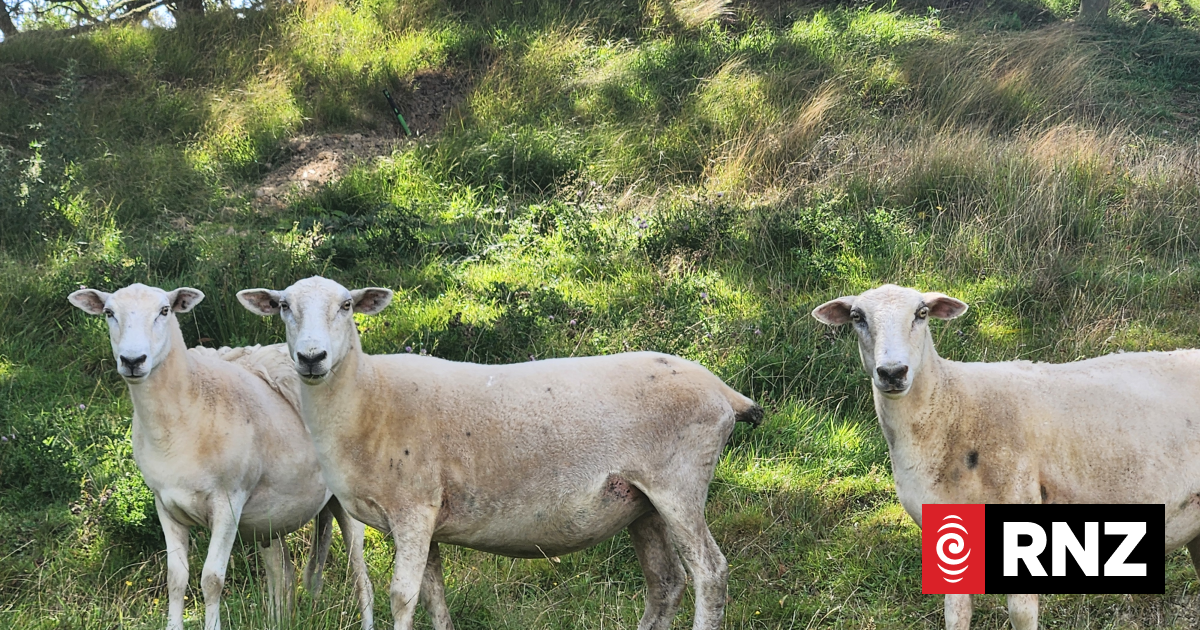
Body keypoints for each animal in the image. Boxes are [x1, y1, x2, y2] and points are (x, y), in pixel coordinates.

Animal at [68, 283, 375, 630]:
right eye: (109, 313)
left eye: (164, 311)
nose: (133, 360)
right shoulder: (165, 505)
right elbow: (176, 578)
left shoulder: (228, 502)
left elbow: (211, 579)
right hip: (272, 515)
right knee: (282, 571)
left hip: (347, 501)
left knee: (361, 575)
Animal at [236, 275, 763, 630]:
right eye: (283, 306)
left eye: (346, 305)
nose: (311, 358)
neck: (369, 399)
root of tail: (724, 392)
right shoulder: (430, 517)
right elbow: (434, 594)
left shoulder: (412, 509)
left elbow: (402, 596)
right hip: (640, 502)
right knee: (665, 583)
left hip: (679, 485)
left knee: (710, 574)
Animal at [812, 283, 1200, 630]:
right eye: (857, 317)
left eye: (921, 314)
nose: (892, 372)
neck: (951, 409)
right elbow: (956, 615)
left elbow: (1022, 615)